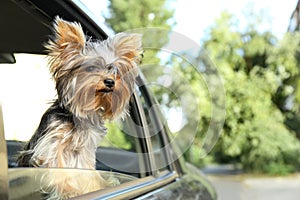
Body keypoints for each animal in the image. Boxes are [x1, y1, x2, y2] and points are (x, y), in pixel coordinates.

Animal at [17, 16, 143, 198]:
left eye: (114, 71)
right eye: (90, 68)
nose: (110, 82)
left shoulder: (83, 152)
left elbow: (87, 171)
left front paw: (97, 187)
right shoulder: (51, 144)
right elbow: (57, 165)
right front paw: (69, 192)